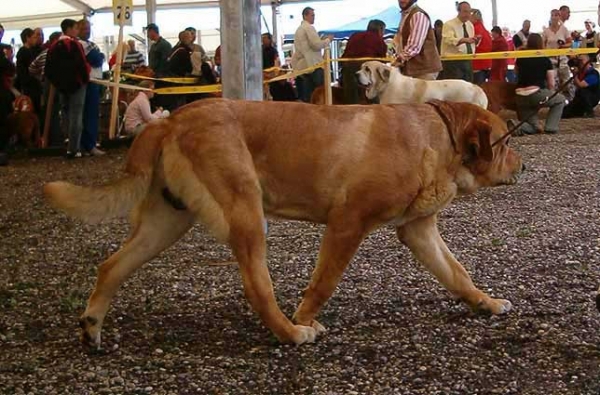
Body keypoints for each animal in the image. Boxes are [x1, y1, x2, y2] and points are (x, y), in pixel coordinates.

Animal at [43, 99, 520, 350]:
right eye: (505, 141)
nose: (524, 164)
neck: (440, 138)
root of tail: (172, 118)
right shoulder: (347, 223)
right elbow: (323, 282)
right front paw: (306, 317)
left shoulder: (419, 231)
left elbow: (458, 274)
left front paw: (486, 303)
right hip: (245, 212)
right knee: (258, 288)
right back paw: (291, 332)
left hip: (167, 223)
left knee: (112, 266)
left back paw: (92, 327)